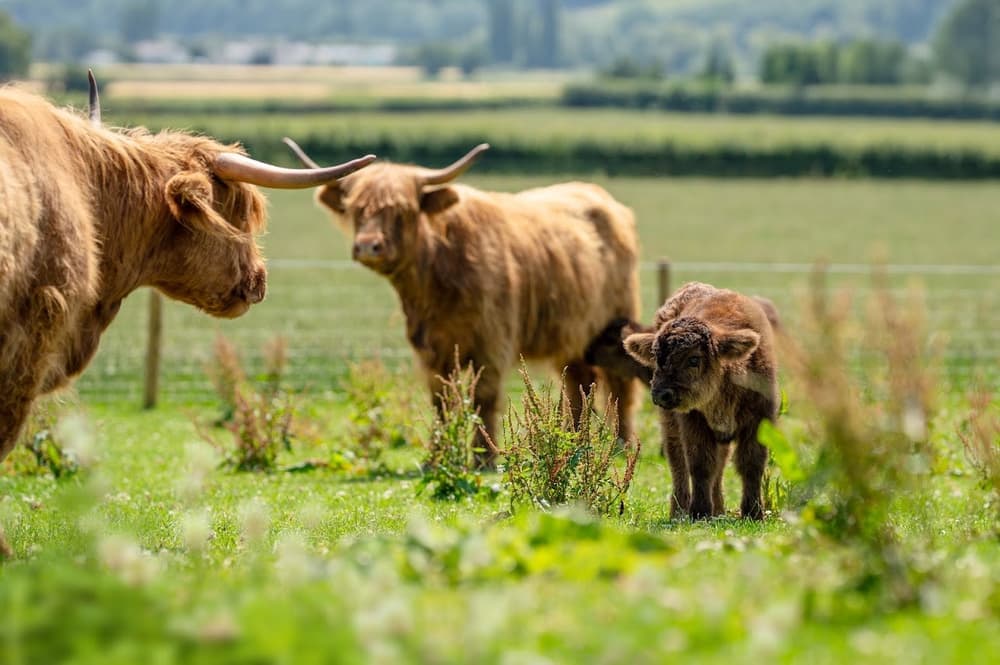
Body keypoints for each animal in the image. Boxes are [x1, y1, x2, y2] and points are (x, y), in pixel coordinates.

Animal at [283, 139, 641, 467]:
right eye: (357, 209)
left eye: (403, 211)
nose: (368, 246)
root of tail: (598, 195)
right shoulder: (431, 350)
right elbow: (441, 402)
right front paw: (436, 457)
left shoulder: (492, 344)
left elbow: (483, 398)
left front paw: (485, 458)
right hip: (572, 336)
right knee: (579, 384)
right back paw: (575, 443)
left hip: (616, 323)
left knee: (619, 385)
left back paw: (619, 445)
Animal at [622, 282, 779, 520]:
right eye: (657, 359)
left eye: (694, 359)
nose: (661, 394)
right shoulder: (693, 421)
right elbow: (700, 465)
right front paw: (699, 512)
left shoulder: (760, 418)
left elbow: (751, 463)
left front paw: (753, 513)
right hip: (670, 423)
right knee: (677, 460)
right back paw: (679, 511)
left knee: (720, 464)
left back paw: (719, 509)